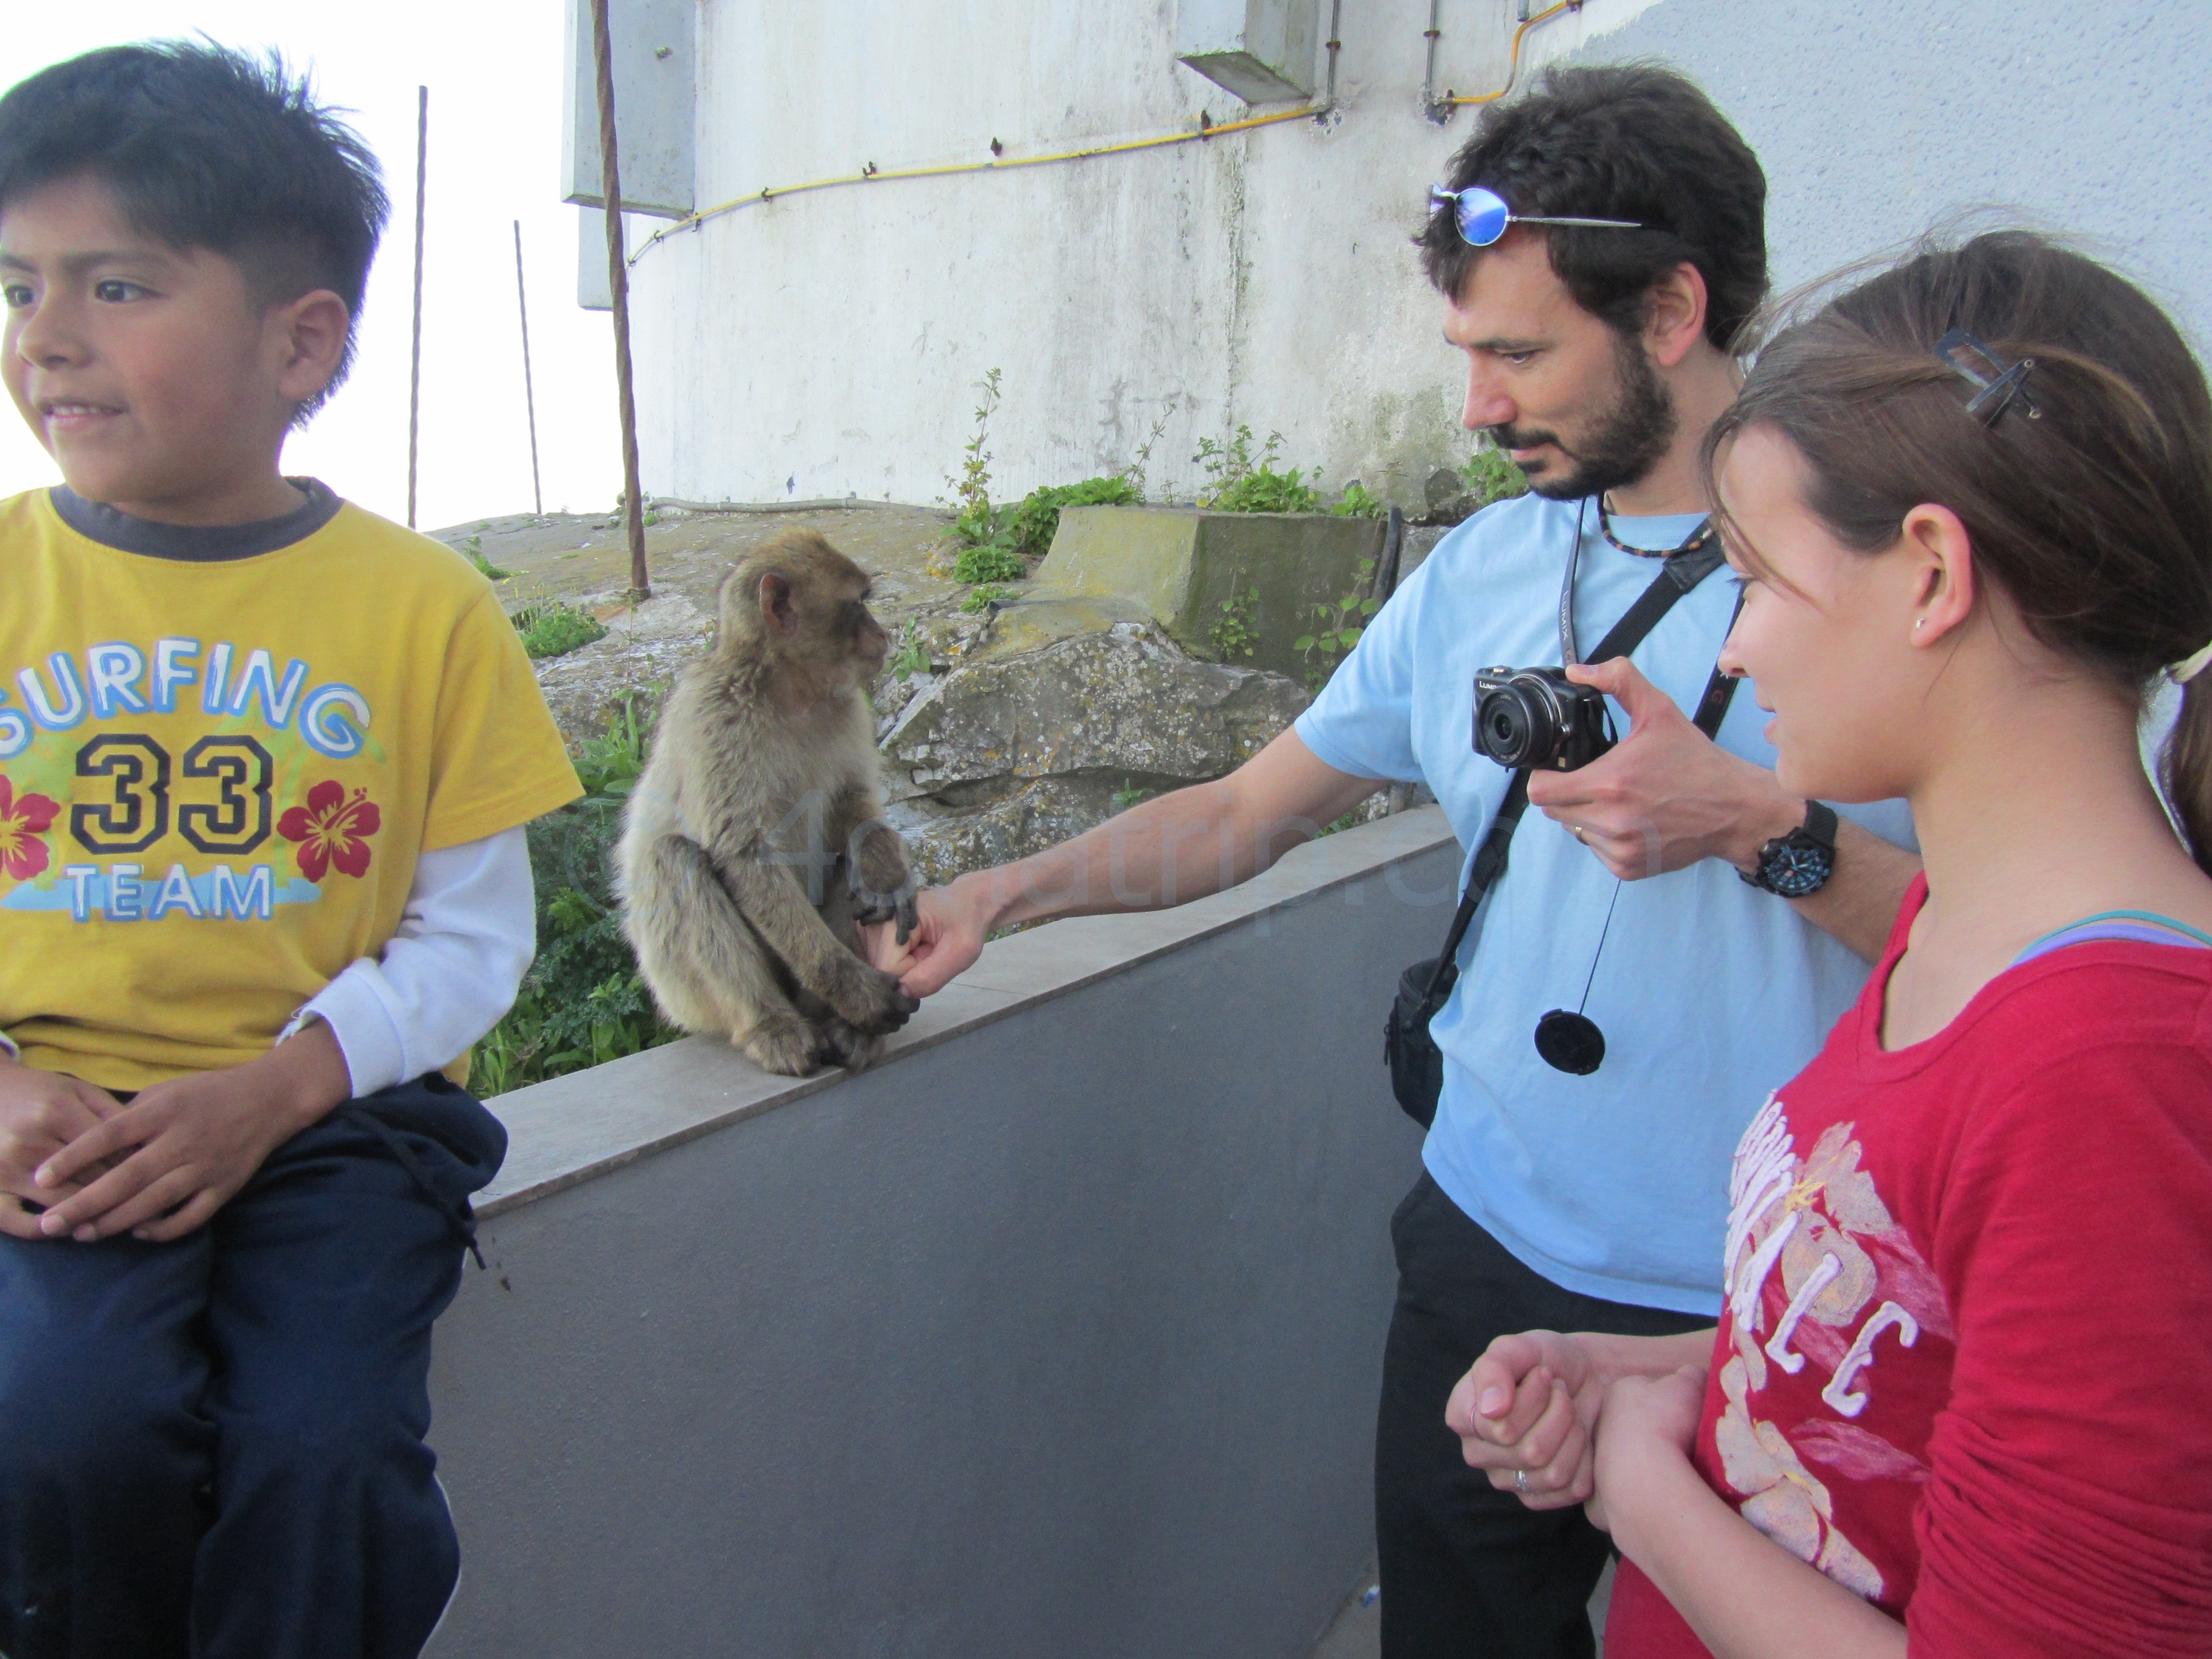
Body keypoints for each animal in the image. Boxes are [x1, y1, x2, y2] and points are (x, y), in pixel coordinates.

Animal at [624, 533, 925, 1079]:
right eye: (859, 603)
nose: (882, 633)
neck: (788, 694)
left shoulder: (849, 705)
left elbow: (852, 803)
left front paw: (885, 873)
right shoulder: (716, 718)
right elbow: (744, 855)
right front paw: (857, 992)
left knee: (841, 857)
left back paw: (842, 1025)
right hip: (682, 995)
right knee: (673, 858)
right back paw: (772, 1024)